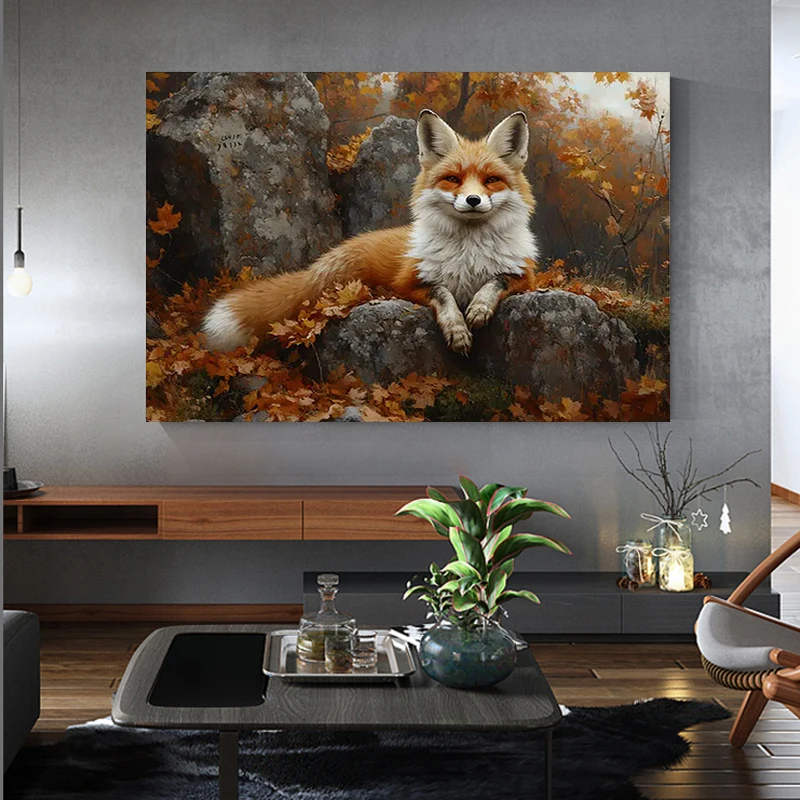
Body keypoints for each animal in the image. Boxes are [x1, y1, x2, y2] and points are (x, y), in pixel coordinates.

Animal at [202, 109, 539, 355]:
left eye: (491, 180)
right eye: (453, 179)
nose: (472, 200)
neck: (468, 253)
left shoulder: (525, 275)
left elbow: (495, 282)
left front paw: (479, 308)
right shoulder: (409, 282)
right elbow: (444, 296)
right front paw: (457, 330)